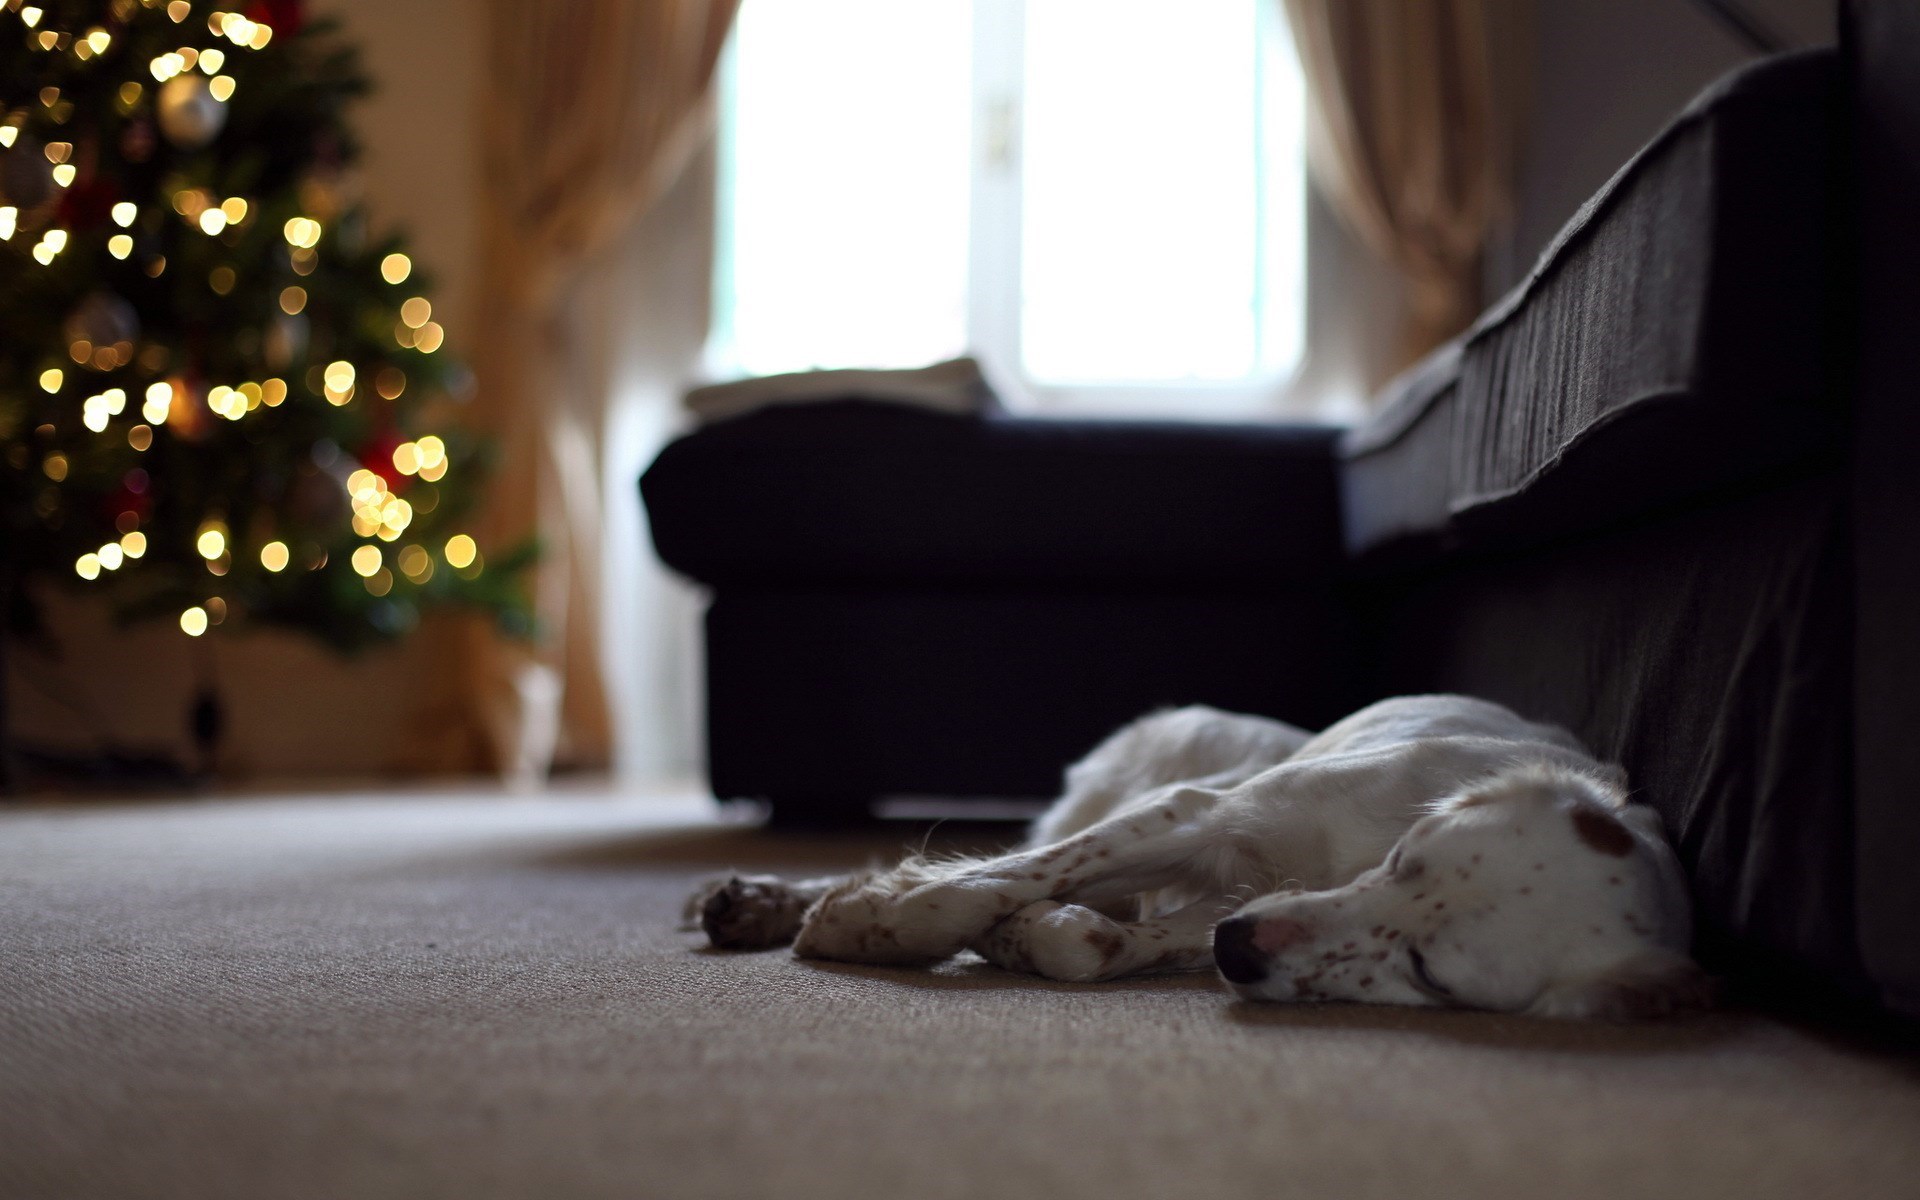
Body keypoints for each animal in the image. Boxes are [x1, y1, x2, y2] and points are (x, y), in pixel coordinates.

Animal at [687, 691, 1712, 1021]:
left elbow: (1086, 941)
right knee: (999, 850)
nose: (1240, 952)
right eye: (1407, 857)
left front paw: (1024, 939)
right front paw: (875, 927)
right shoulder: (1204, 812)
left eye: (1430, 973)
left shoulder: (1229, 904)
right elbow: (982, 881)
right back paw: (768, 899)